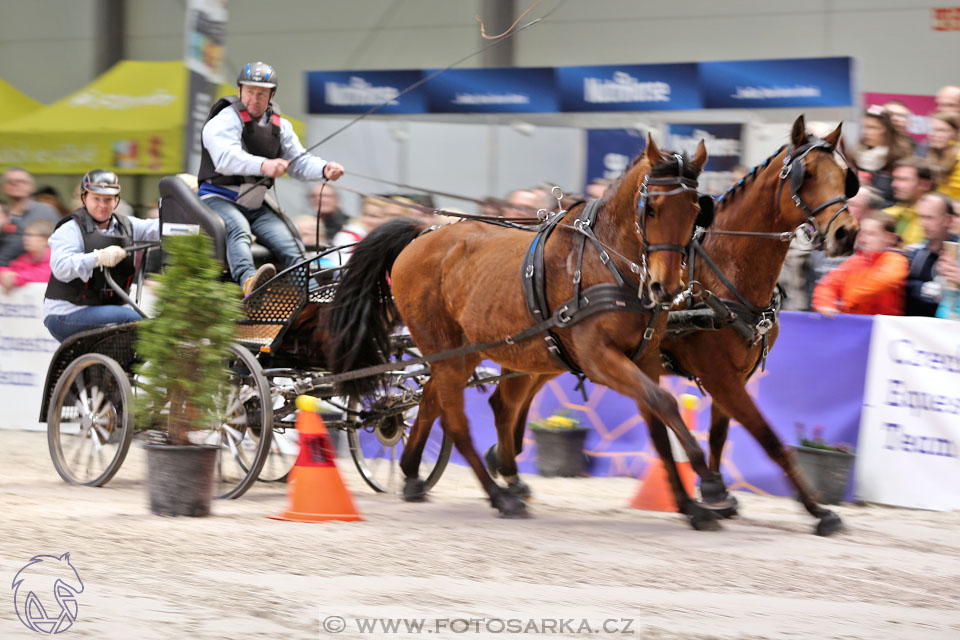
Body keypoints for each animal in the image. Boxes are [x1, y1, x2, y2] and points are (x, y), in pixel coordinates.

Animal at [322, 136, 728, 524]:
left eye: (696, 211)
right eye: (652, 208)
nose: (666, 287)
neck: (605, 261)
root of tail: (423, 233)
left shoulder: (643, 360)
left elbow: (659, 424)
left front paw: (689, 504)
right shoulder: (600, 359)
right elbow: (665, 404)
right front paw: (709, 482)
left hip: (465, 353)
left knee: (435, 401)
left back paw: (413, 474)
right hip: (446, 350)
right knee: (455, 420)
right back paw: (499, 496)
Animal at [484, 115, 860, 536]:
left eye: (846, 175)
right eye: (806, 174)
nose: (846, 233)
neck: (723, 270)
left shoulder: (734, 377)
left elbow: (718, 436)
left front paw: (717, 495)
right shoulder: (718, 374)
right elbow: (768, 439)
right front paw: (818, 509)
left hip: (550, 355)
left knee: (509, 401)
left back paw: (505, 463)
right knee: (505, 401)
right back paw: (505, 469)